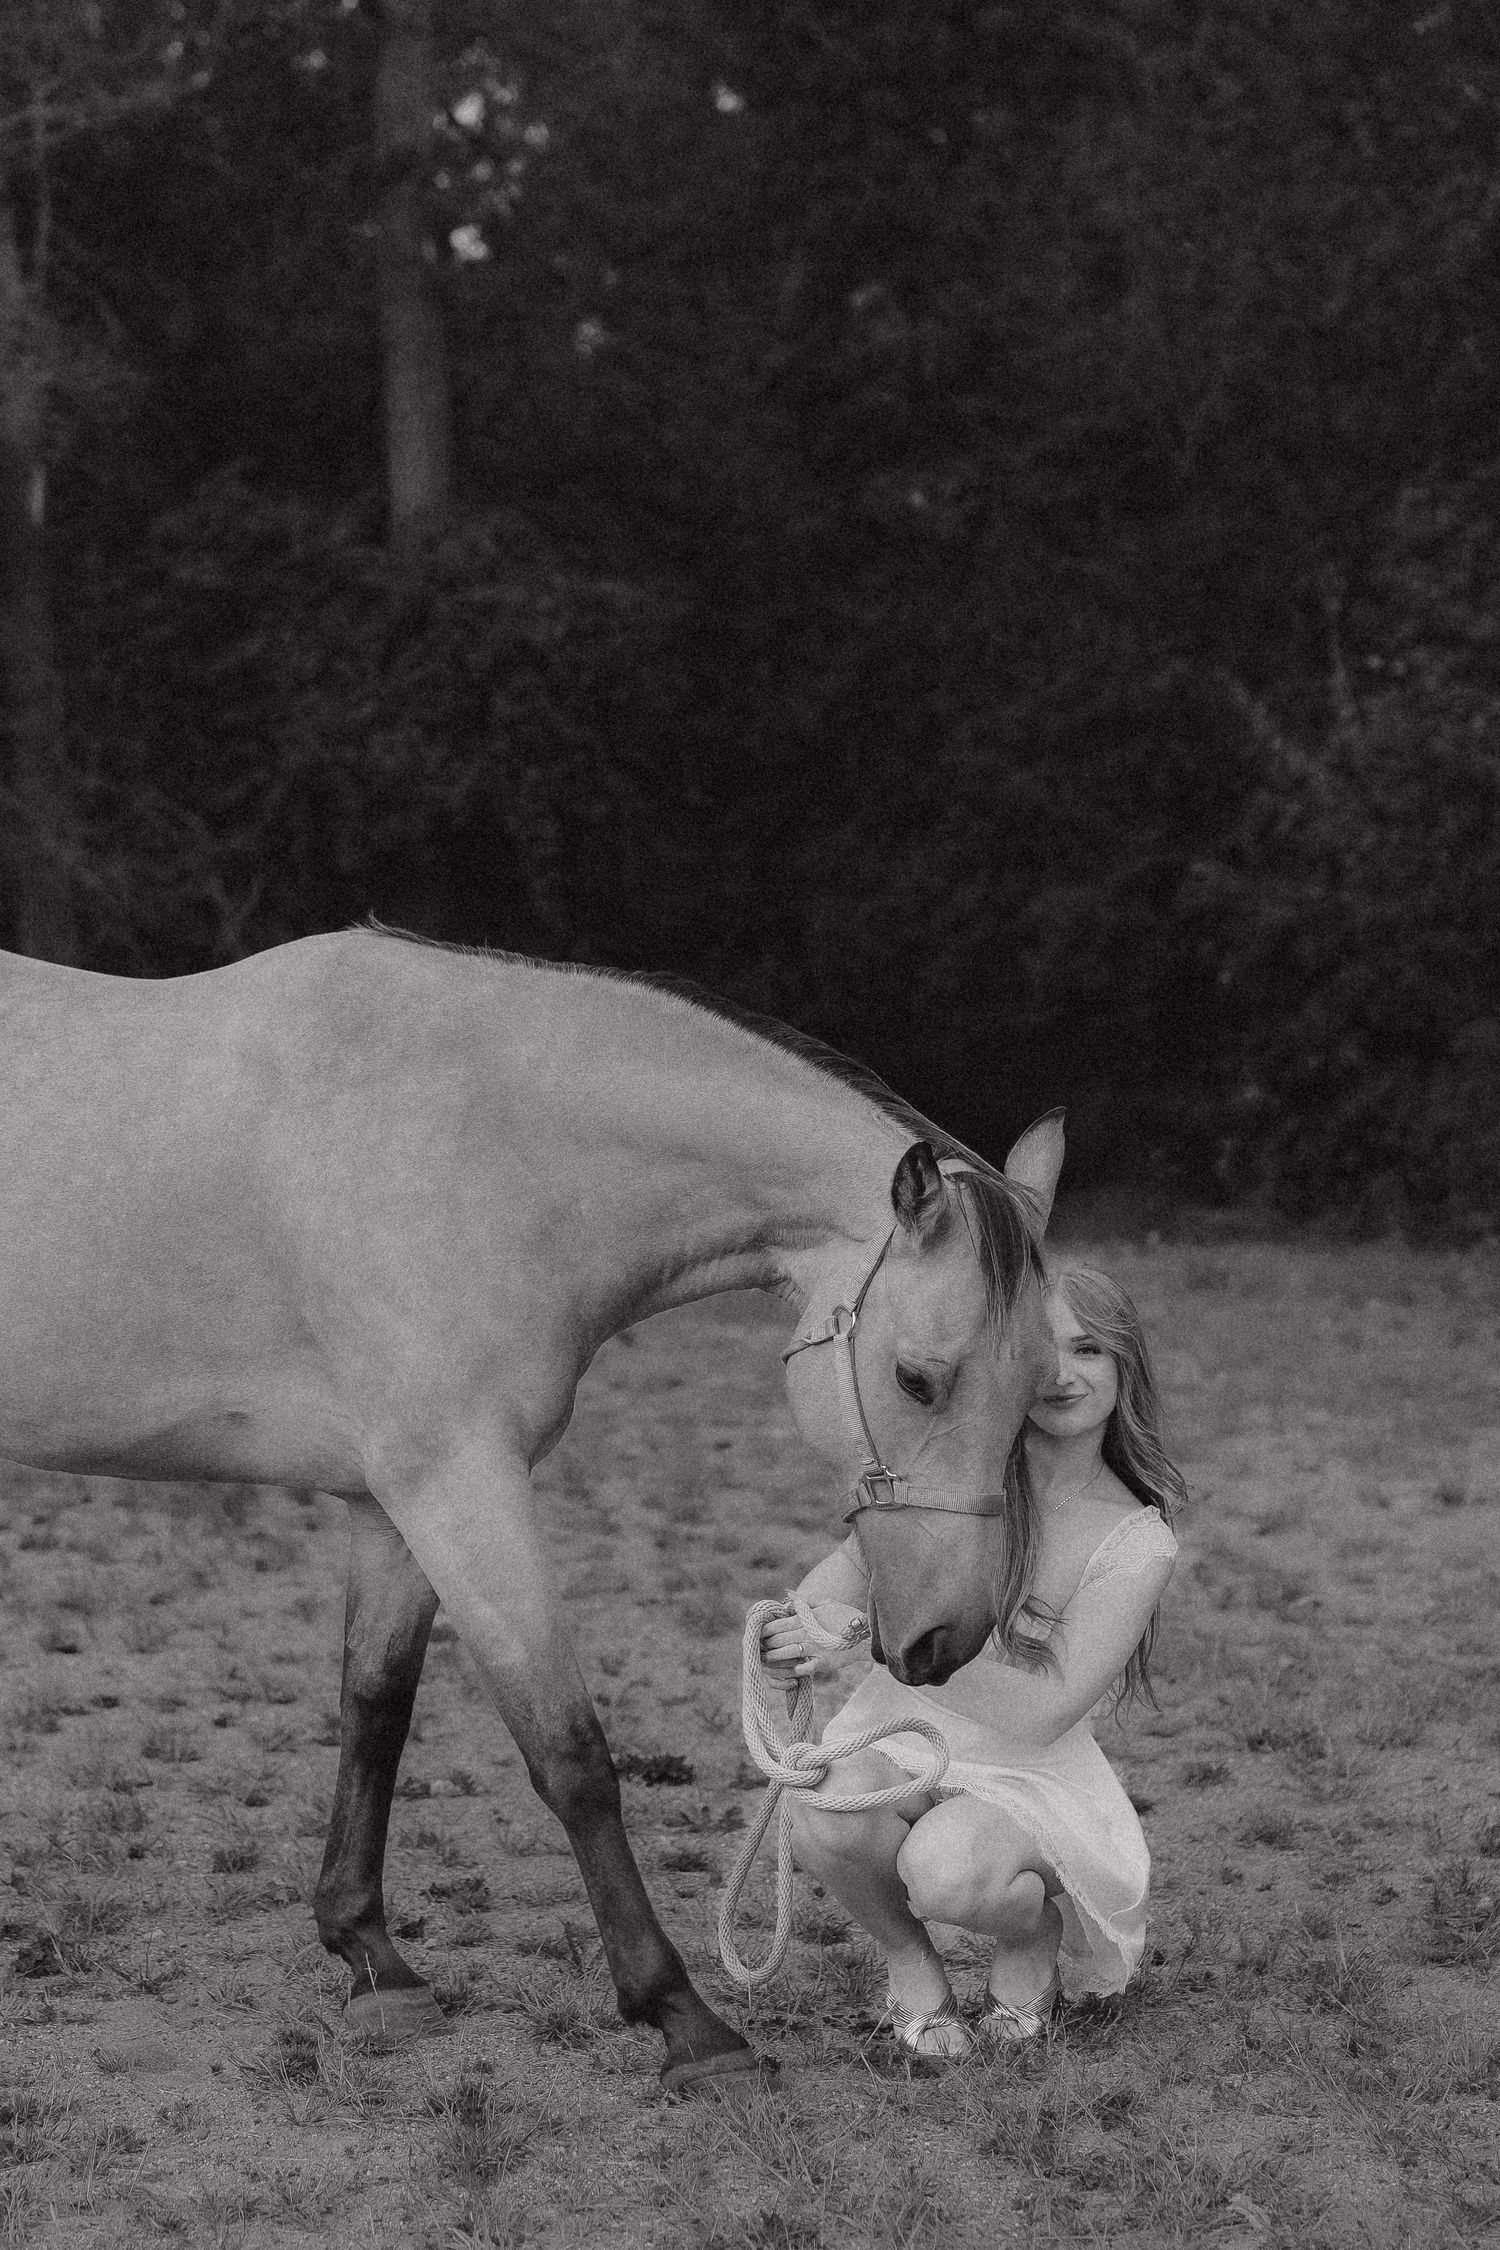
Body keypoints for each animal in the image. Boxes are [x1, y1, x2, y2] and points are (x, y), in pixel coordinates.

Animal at [0, 924, 1064, 2089]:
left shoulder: (394, 1505)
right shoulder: (459, 1483)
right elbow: (573, 1755)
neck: (481, 1149)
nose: (945, 1638)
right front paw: (685, 2022)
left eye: (1040, 1390)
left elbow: (376, 1710)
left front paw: (370, 1961)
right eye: (918, 1379)